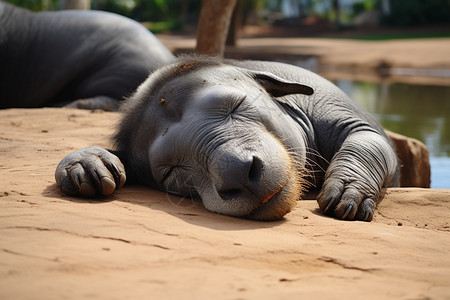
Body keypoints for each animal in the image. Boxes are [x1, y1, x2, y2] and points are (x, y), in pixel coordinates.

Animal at [54, 55, 400, 220]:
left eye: (236, 105)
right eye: (173, 171)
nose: (238, 174)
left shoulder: (329, 101)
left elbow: (369, 138)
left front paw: (348, 191)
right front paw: (86, 163)